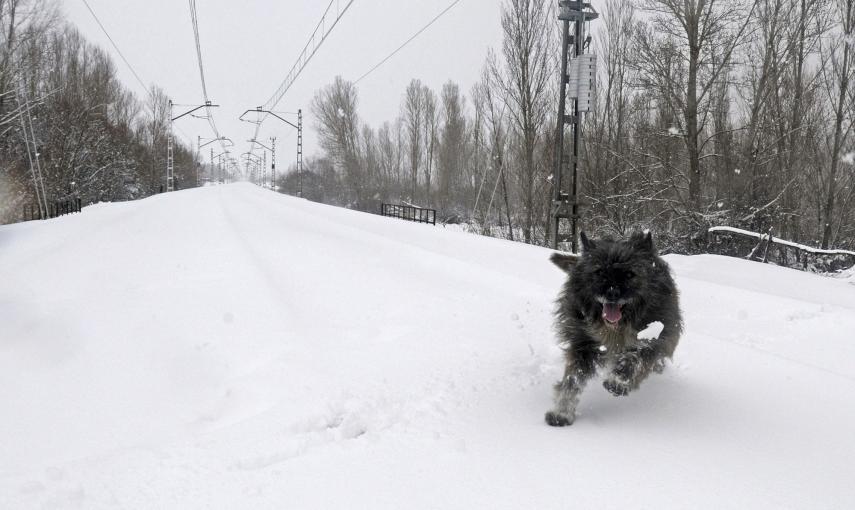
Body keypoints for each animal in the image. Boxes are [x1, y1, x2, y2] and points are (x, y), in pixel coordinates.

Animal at [544, 231, 684, 426]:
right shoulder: (583, 344)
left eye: (629, 274)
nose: (611, 293)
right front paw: (562, 412)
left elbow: (640, 355)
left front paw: (619, 380)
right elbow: (573, 379)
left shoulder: (662, 337)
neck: (616, 328)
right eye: (599, 271)